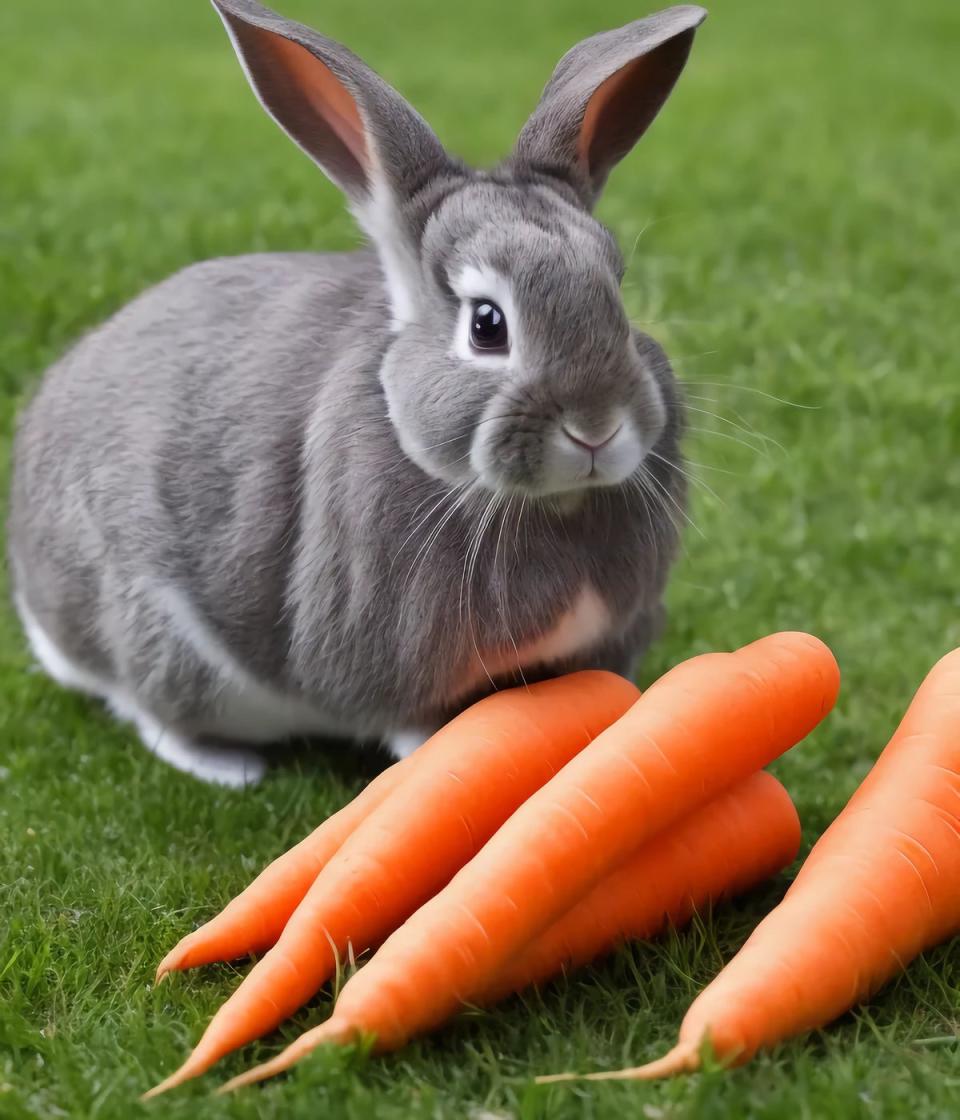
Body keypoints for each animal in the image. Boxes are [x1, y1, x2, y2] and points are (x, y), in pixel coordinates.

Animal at [5, 0, 703, 788]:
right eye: (487, 325)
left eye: (616, 291)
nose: (596, 427)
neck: (546, 504)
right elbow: (420, 732)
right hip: (160, 637)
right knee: (152, 711)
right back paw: (228, 766)